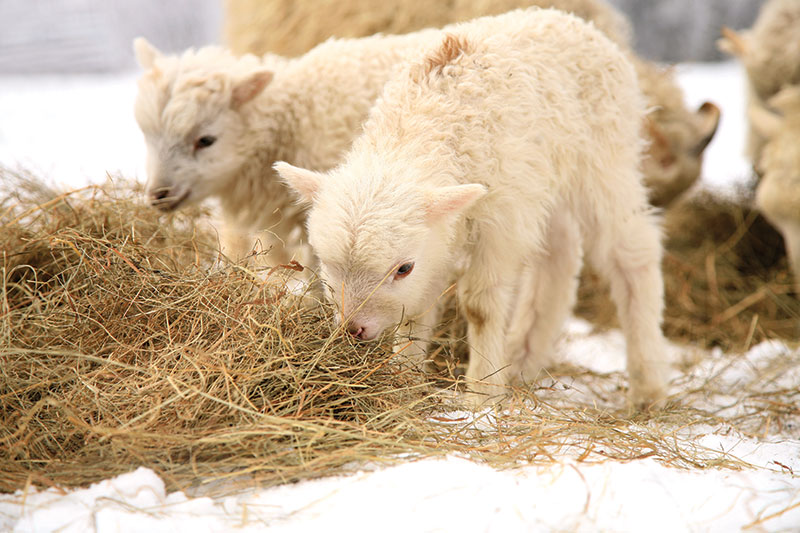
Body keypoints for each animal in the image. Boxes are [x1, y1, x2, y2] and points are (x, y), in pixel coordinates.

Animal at [275, 8, 670, 408]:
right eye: (328, 264)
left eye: (403, 269)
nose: (354, 329)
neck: (420, 125)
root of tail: (568, 18)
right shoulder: (441, 239)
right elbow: (416, 312)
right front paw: (403, 382)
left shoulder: (501, 219)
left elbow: (481, 308)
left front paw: (481, 394)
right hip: (545, 182)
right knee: (558, 259)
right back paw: (522, 359)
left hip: (604, 160)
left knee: (632, 254)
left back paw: (648, 385)